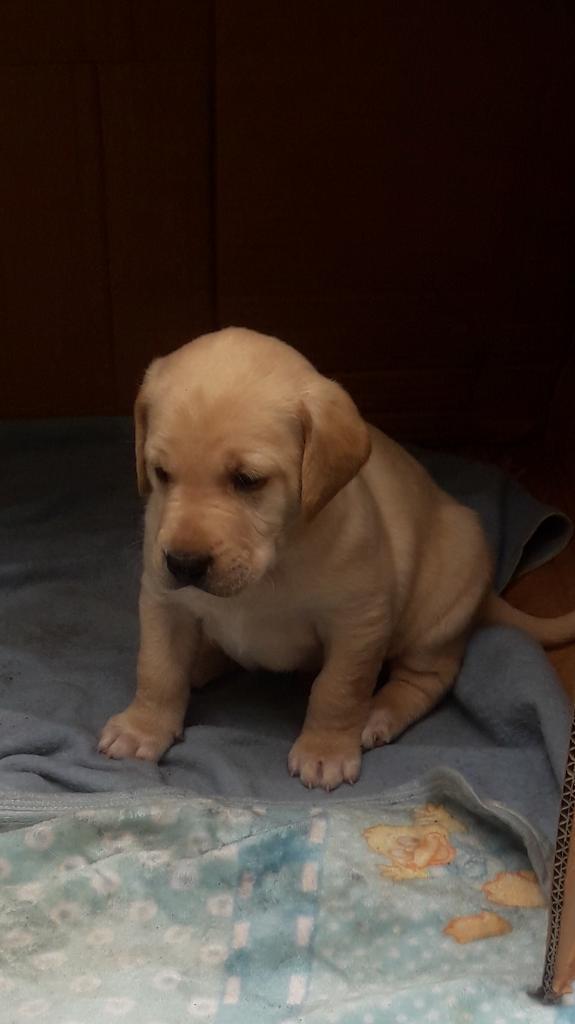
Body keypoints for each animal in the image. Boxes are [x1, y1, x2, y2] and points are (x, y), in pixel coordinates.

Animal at [99, 327, 572, 790]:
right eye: (162, 474)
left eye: (247, 480)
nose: (183, 563)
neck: (274, 563)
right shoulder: (165, 602)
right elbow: (157, 668)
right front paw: (143, 728)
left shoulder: (359, 622)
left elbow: (338, 689)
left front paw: (325, 751)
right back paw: (203, 661)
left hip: (441, 611)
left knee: (427, 678)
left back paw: (379, 714)